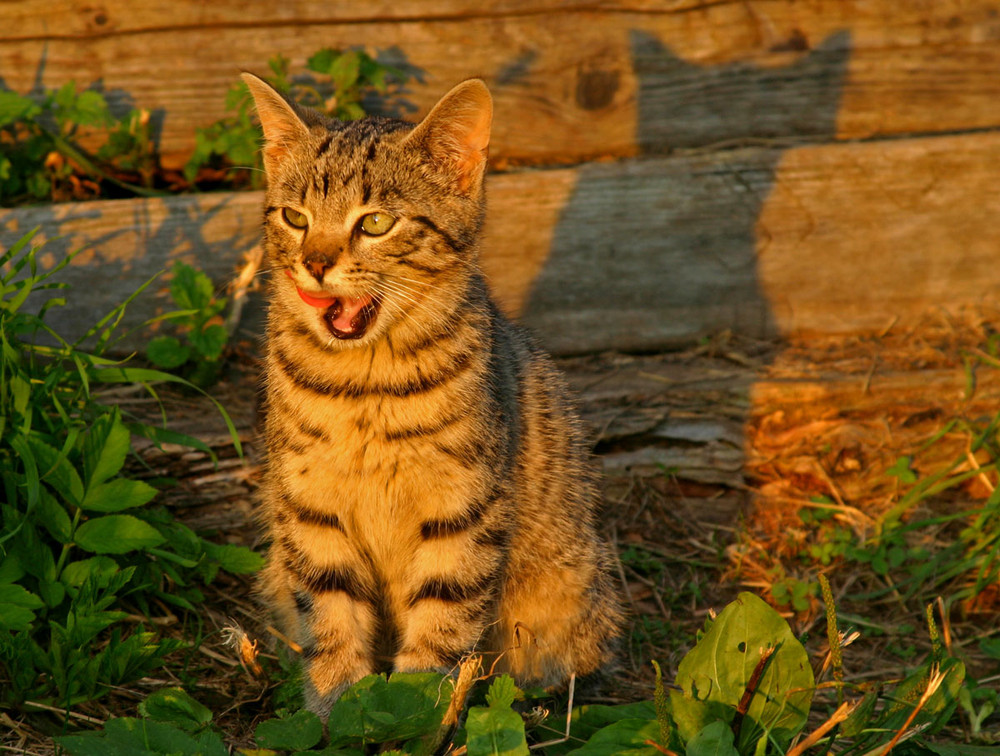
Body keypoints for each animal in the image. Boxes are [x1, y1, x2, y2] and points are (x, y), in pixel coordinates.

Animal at [242, 71, 620, 716]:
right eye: (294, 216)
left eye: (374, 223)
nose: (314, 263)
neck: (363, 386)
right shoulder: (311, 505)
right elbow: (331, 618)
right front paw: (332, 707)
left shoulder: (464, 507)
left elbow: (441, 622)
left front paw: (414, 711)